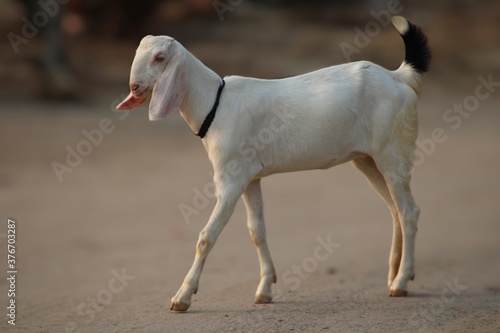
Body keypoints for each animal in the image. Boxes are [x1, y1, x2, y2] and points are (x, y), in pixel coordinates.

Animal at [116, 16, 430, 312]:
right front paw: (265, 289)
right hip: (367, 160)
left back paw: (401, 282)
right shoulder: (251, 178)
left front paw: (182, 298)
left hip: (392, 152)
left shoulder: (230, 179)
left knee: (409, 211)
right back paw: (392, 276)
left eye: (159, 58)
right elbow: (257, 231)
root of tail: (399, 77)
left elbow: (207, 236)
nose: (134, 86)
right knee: (394, 210)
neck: (215, 105)